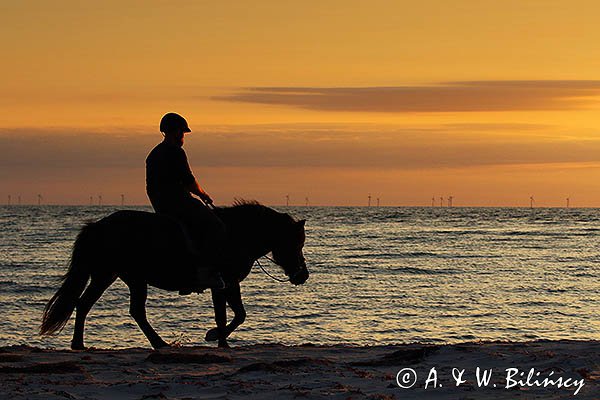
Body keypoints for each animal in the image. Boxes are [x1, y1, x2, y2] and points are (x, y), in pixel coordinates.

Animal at [39, 202, 310, 348]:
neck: (236, 234)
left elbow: (230, 314)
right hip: (122, 277)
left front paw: (220, 340)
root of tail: (97, 226)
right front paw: (216, 337)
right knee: (125, 310)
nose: (303, 276)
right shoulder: (226, 282)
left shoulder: (224, 284)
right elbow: (233, 315)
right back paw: (157, 343)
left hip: (115, 276)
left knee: (88, 305)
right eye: (296, 243)